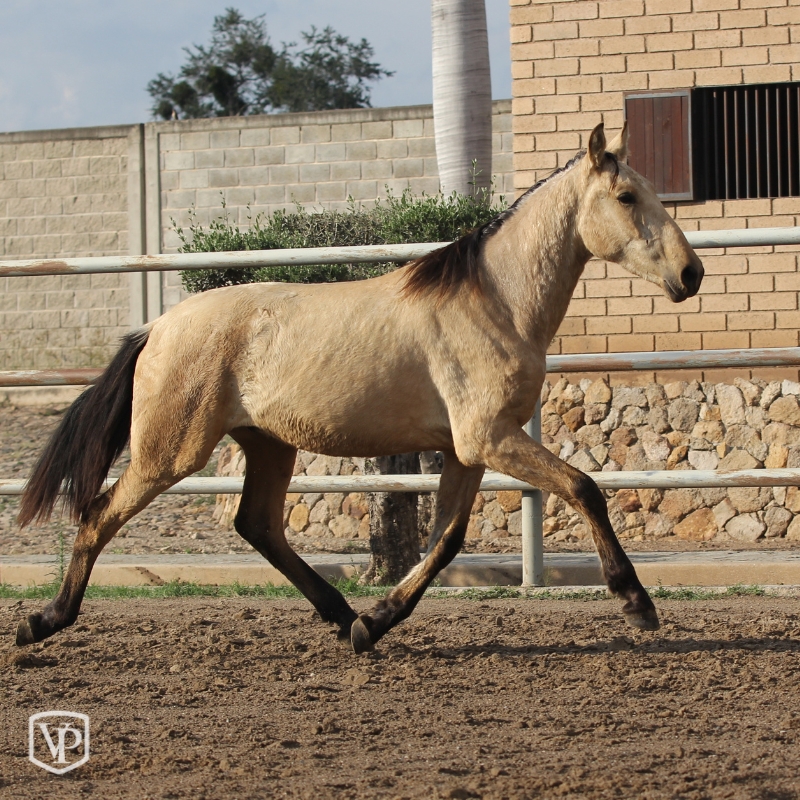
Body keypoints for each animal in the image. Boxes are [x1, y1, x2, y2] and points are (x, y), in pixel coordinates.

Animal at [15, 123, 703, 654]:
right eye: (626, 195)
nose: (691, 273)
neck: (494, 303)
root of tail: (157, 328)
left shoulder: (466, 450)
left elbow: (446, 540)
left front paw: (374, 624)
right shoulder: (489, 438)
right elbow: (584, 488)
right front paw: (636, 601)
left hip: (269, 444)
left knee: (257, 525)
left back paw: (342, 614)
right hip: (171, 451)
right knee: (100, 512)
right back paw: (42, 622)